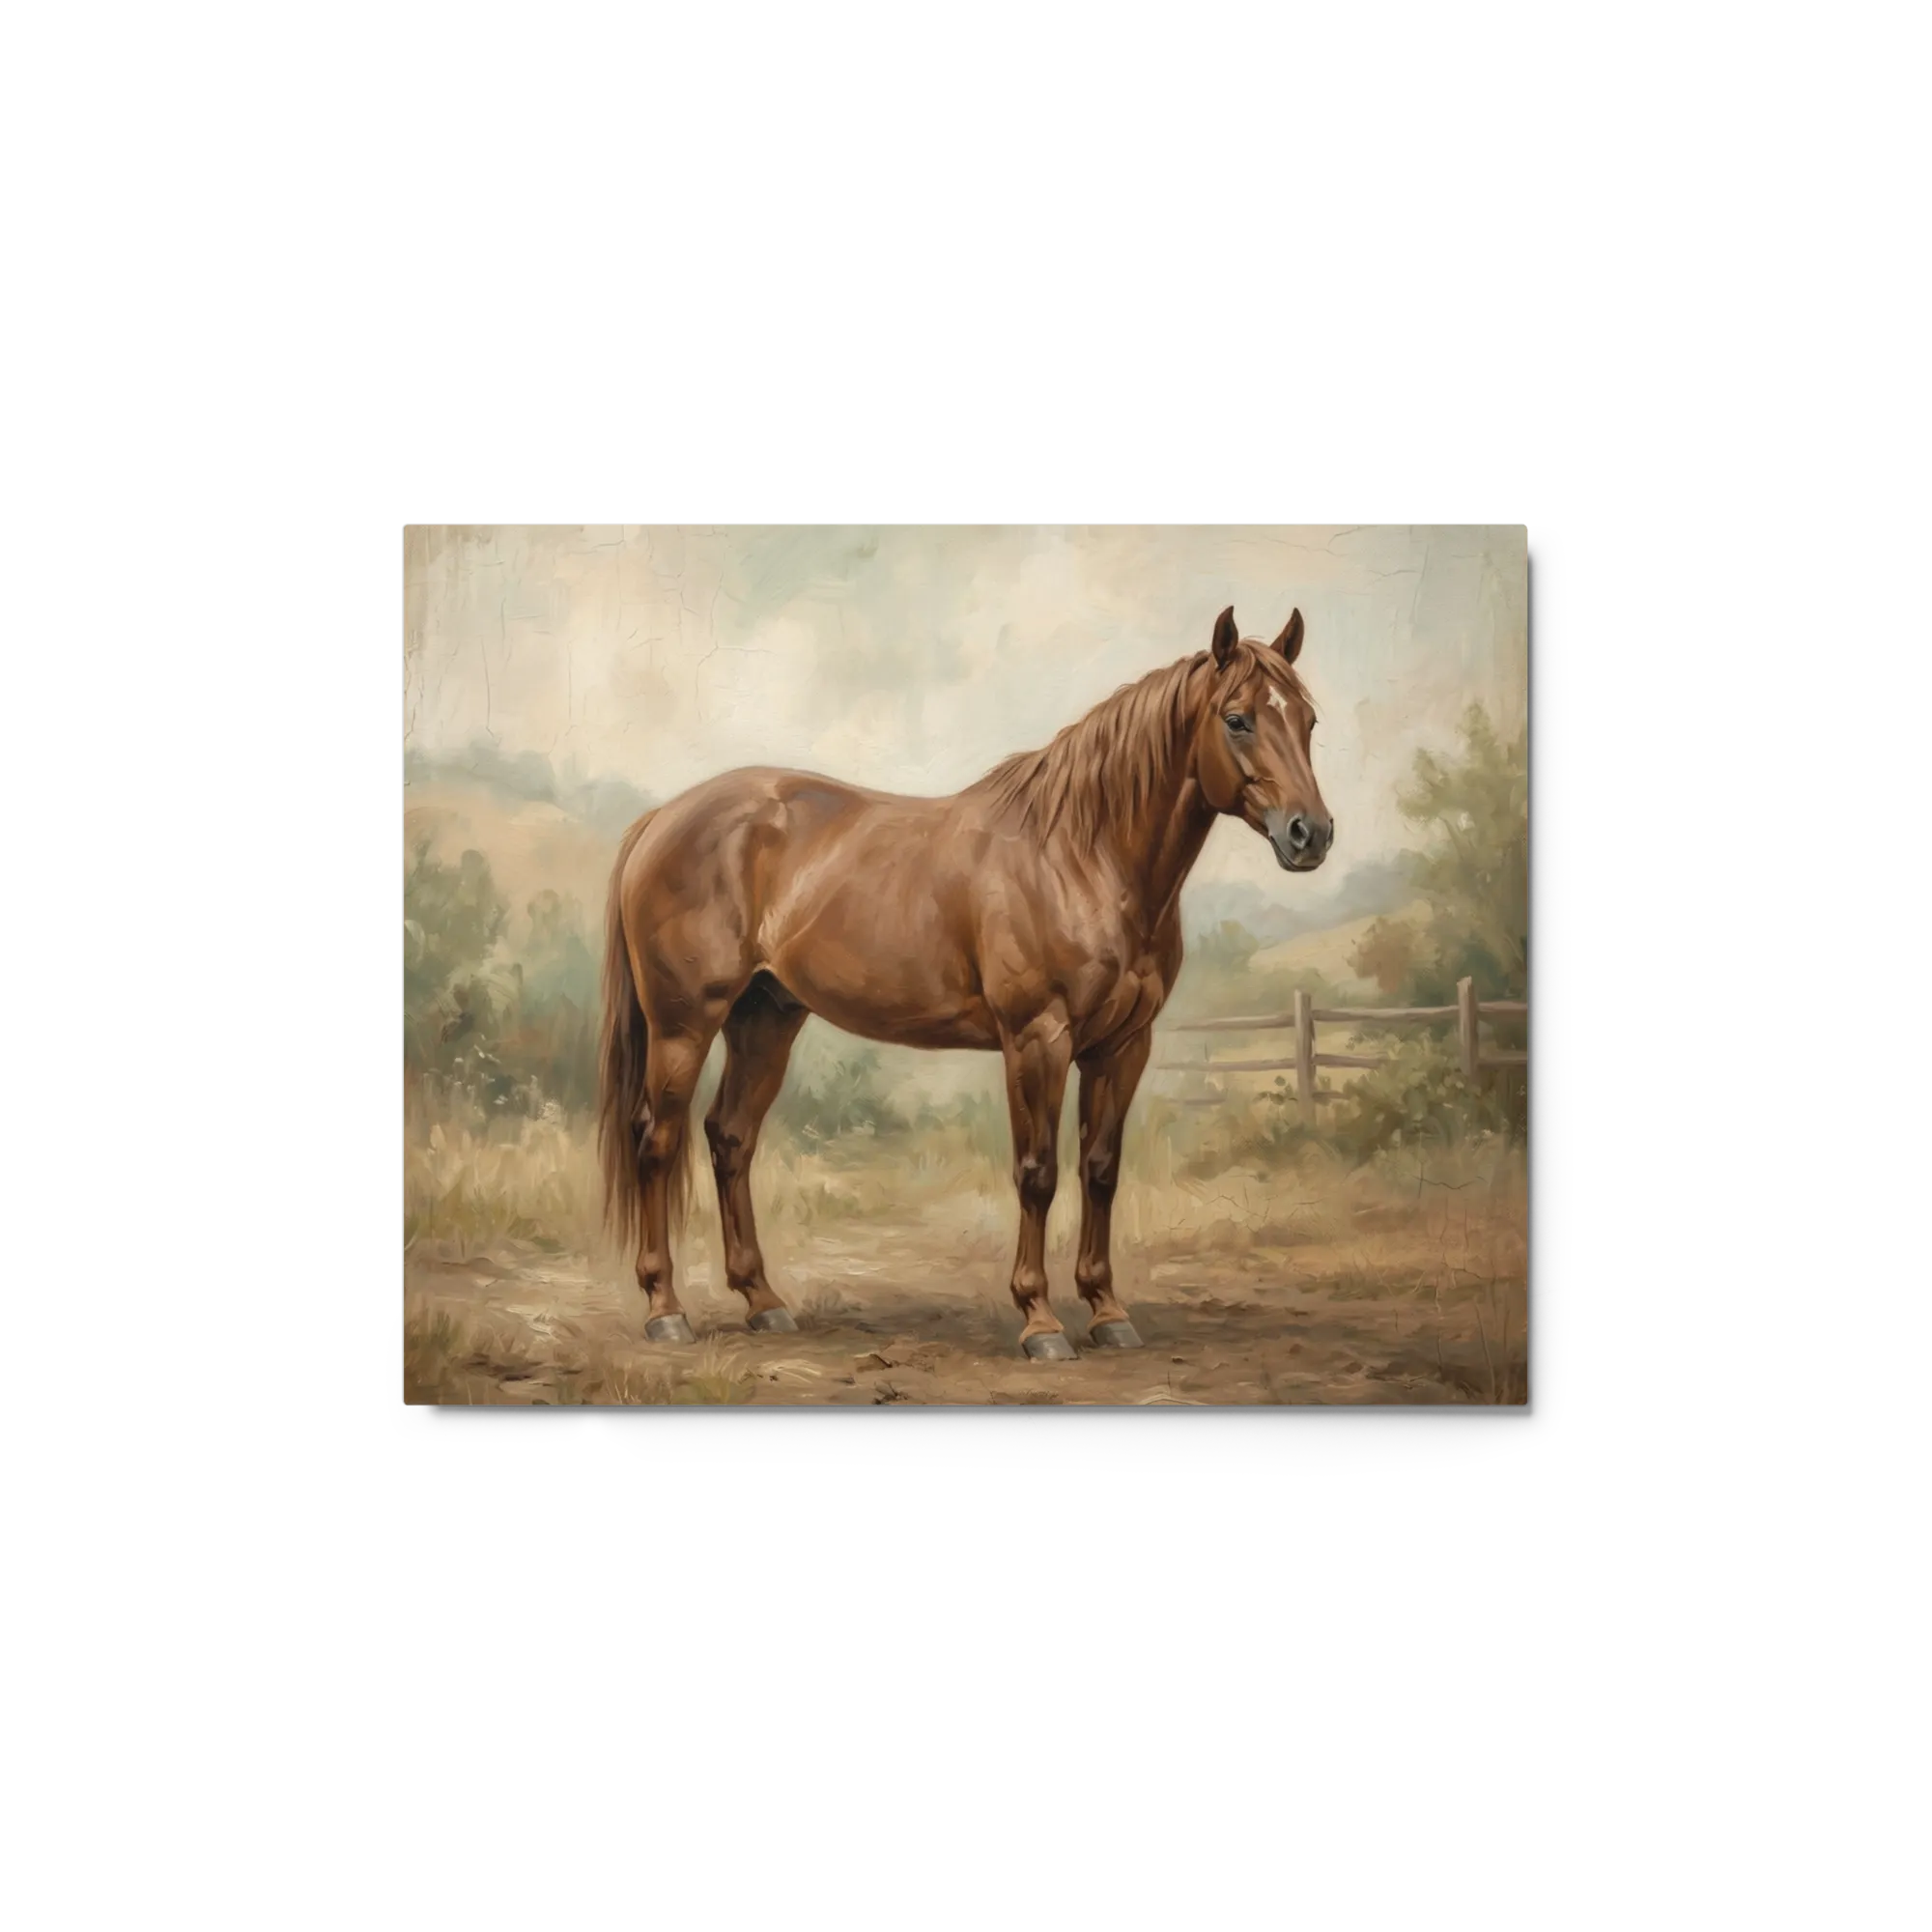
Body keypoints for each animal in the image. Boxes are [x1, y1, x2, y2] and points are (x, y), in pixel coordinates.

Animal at [597, 603, 1333, 1360]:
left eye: (1308, 720)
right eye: (1238, 719)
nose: (1310, 834)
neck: (1082, 856)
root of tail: (661, 819)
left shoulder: (1123, 1046)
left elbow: (1100, 1170)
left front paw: (1107, 1311)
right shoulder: (1037, 1040)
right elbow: (1037, 1173)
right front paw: (1040, 1321)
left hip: (765, 1020)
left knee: (730, 1138)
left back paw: (763, 1302)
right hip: (684, 1026)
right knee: (658, 1140)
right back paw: (665, 1310)